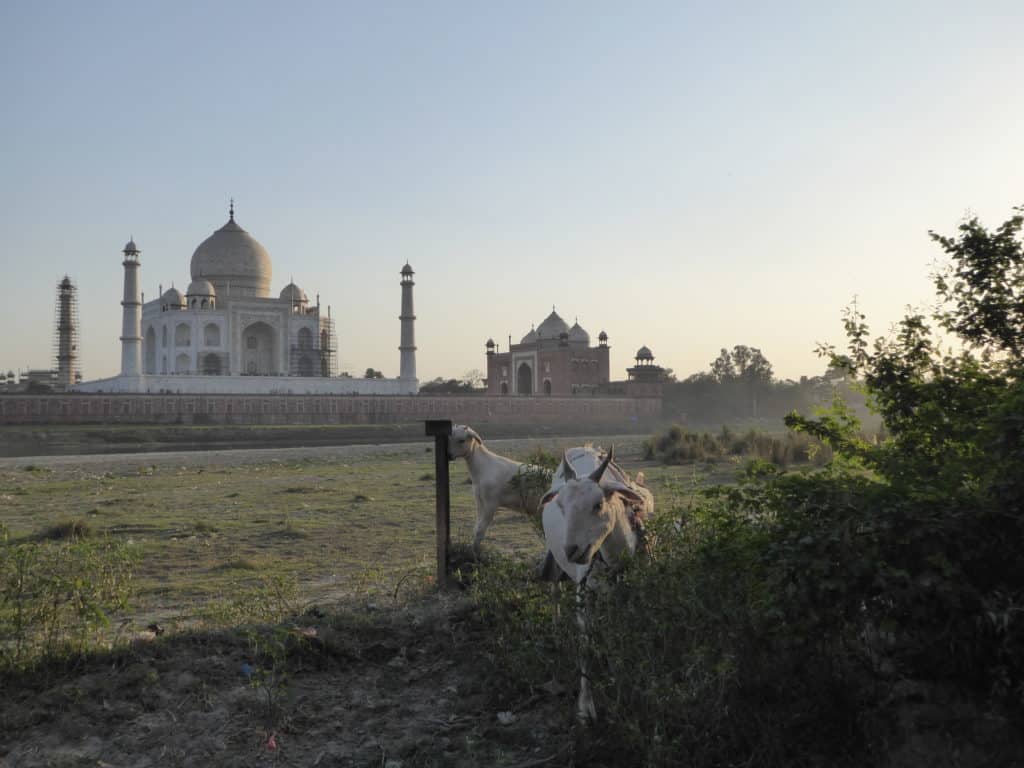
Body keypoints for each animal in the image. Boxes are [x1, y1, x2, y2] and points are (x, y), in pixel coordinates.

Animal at [540, 448, 651, 724]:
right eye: (561, 506)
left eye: (598, 504)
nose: (572, 550)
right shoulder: (584, 596)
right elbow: (585, 645)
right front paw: (586, 707)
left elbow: (620, 634)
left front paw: (621, 680)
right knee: (555, 591)